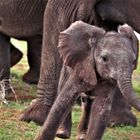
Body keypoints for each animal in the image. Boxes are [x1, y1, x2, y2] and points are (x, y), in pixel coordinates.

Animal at [20, 0, 140, 138]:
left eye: (133, 61)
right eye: (104, 59)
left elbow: (101, 108)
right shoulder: (82, 67)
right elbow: (64, 100)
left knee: (88, 101)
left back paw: (82, 135)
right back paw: (62, 133)